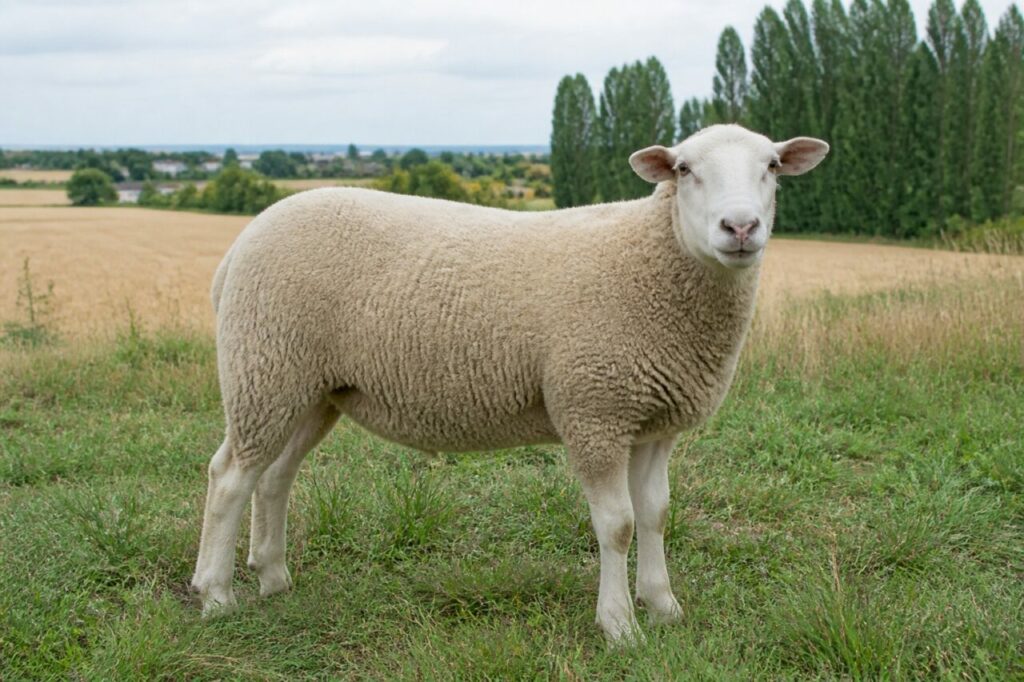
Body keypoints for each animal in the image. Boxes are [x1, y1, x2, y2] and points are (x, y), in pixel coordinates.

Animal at [190, 124, 829, 644]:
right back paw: (215, 594)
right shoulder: (593, 409)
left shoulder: (652, 421)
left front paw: (664, 606)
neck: (655, 260)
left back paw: (273, 575)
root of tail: (237, 248)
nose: (740, 226)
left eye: (772, 166)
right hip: (265, 368)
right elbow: (617, 525)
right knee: (229, 477)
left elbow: (655, 515)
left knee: (274, 476)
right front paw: (620, 625)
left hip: (311, 389)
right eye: (685, 169)